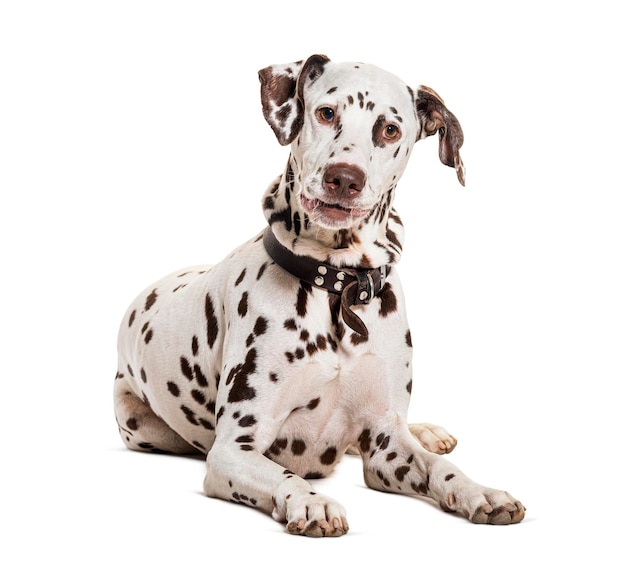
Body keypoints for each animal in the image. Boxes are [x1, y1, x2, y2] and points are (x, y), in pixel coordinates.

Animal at [114, 55, 524, 536]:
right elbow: (283, 474)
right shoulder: (233, 450)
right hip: (140, 425)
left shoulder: (386, 448)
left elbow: (439, 468)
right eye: (326, 113)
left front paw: (481, 492)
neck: (339, 285)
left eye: (390, 129)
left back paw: (427, 431)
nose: (343, 178)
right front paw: (312, 503)